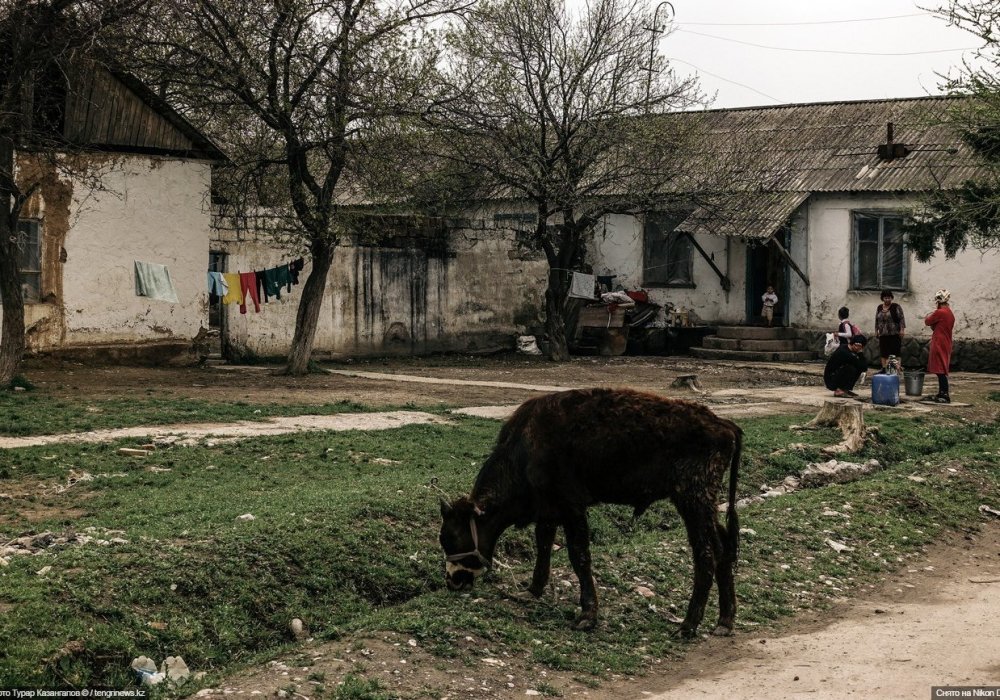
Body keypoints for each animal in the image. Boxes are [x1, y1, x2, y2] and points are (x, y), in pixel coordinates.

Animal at [438, 386, 744, 636]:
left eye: (451, 538)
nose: (452, 581)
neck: (525, 447)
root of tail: (723, 424)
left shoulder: (572, 506)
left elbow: (579, 556)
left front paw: (588, 614)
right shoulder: (549, 508)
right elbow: (543, 545)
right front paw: (533, 590)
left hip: (693, 501)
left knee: (706, 554)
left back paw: (689, 625)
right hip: (705, 506)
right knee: (723, 546)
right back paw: (725, 620)